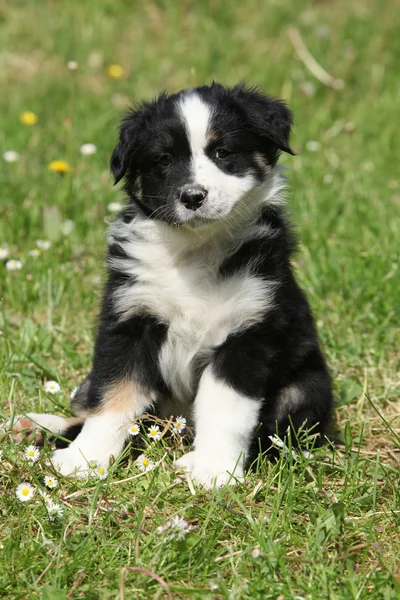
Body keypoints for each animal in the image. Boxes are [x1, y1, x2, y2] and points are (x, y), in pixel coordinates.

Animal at [13, 84, 332, 488]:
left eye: (222, 152)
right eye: (163, 159)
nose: (193, 196)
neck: (193, 250)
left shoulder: (247, 332)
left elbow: (225, 409)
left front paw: (213, 470)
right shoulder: (129, 319)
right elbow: (113, 397)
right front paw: (85, 459)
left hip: (305, 388)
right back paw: (37, 425)